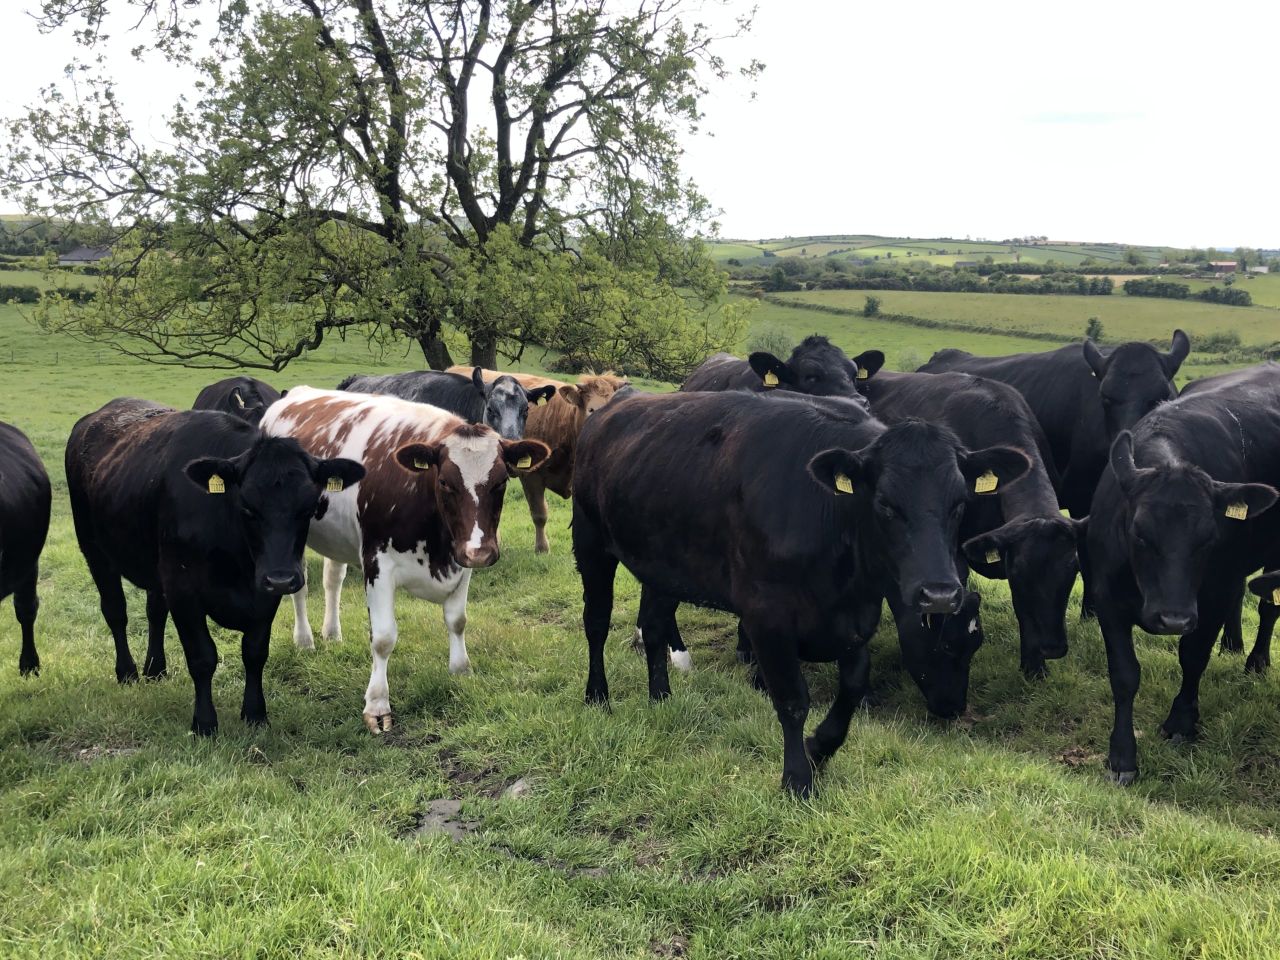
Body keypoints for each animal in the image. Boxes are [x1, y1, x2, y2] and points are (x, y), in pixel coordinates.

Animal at [65, 400, 364, 734]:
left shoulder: (263, 593)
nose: (282, 579)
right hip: (95, 550)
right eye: (247, 507)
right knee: (116, 611)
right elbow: (202, 657)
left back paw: (155, 669)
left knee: (155, 612)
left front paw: (255, 714)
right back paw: (127, 672)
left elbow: (255, 652)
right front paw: (205, 723)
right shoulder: (183, 590)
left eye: (309, 508)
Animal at [260, 386, 550, 732]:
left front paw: (461, 671)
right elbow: (383, 638)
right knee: (300, 588)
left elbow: (458, 620)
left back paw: (331, 634)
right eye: (444, 482)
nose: (481, 553)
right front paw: (377, 705)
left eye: (501, 481)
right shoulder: (377, 563)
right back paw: (305, 640)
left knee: (333, 579)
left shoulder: (461, 557)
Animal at [572, 390, 1028, 796]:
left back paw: (661, 698)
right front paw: (797, 779)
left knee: (652, 626)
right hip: (591, 543)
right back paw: (598, 697)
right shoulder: (766, 614)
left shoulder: (855, 616)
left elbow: (853, 688)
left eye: (960, 502)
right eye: (885, 503)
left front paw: (820, 748)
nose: (939, 594)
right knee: (596, 623)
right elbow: (792, 698)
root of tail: (613, 406)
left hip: (663, 564)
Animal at [1085, 364, 1280, 784]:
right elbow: (1124, 674)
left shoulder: (1211, 596)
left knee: (1268, 605)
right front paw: (1122, 756)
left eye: (1210, 538)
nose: (1172, 619)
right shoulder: (1106, 597)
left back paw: (1255, 661)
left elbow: (1193, 657)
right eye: (1139, 533)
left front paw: (1181, 722)